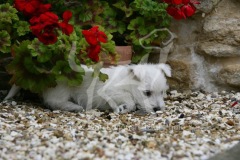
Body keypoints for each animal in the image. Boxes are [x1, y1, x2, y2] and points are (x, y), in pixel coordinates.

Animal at [4, 63, 172, 113]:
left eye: (162, 92)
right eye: (147, 93)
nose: (158, 109)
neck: (127, 82)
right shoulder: (111, 91)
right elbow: (129, 99)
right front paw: (123, 107)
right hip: (62, 90)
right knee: (55, 102)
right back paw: (74, 107)